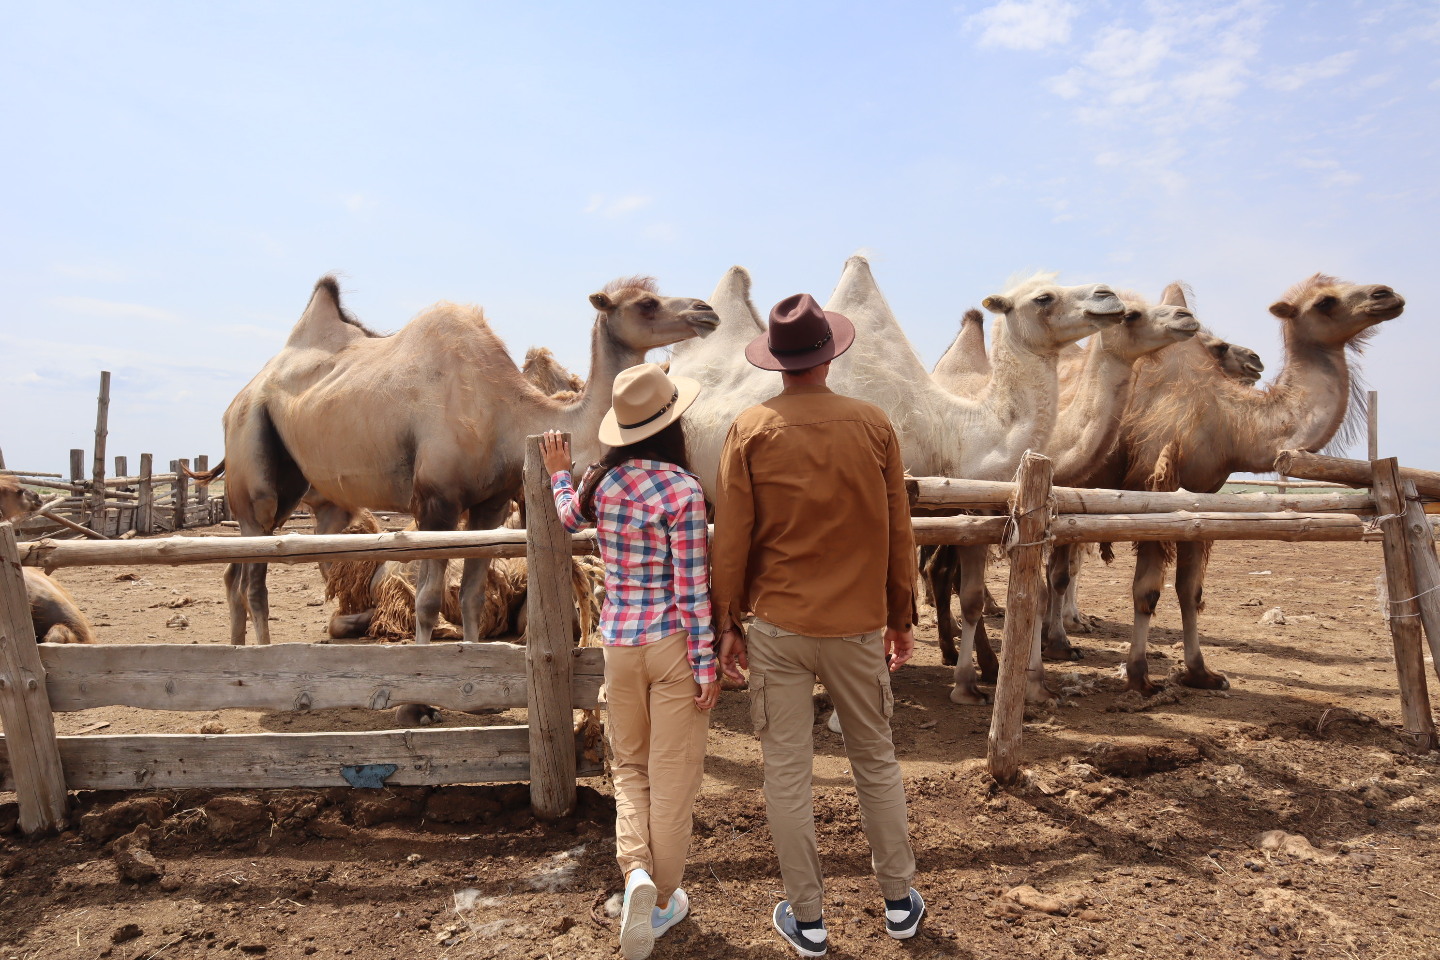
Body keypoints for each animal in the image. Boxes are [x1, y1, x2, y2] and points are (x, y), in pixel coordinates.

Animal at [200, 279, 717, 653]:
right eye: (646, 303)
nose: (706, 311)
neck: (509, 417)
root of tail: (237, 401)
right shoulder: (436, 503)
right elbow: (428, 601)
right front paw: (421, 698)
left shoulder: (490, 504)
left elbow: (470, 596)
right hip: (253, 464)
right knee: (254, 576)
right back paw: (259, 656)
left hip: (290, 492)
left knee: (238, 572)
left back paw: (232, 649)